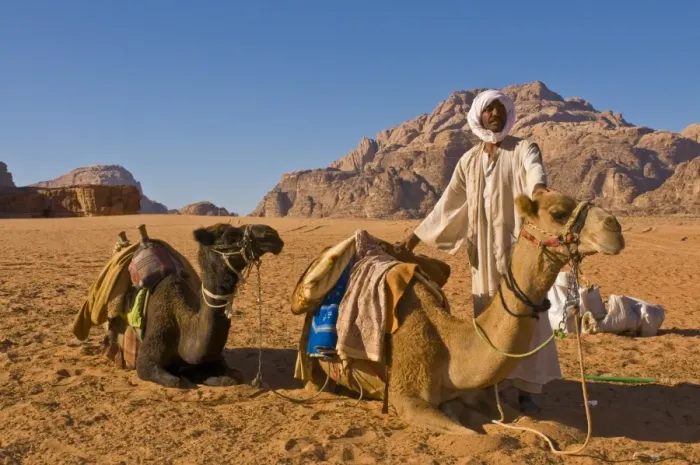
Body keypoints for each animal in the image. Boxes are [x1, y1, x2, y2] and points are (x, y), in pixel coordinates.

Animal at [303, 190, 625, 434]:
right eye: (558, 212)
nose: (615, 227)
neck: (449, 345)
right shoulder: (407, 398)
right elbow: (473, 434)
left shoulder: (474, 390)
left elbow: (516, 418)